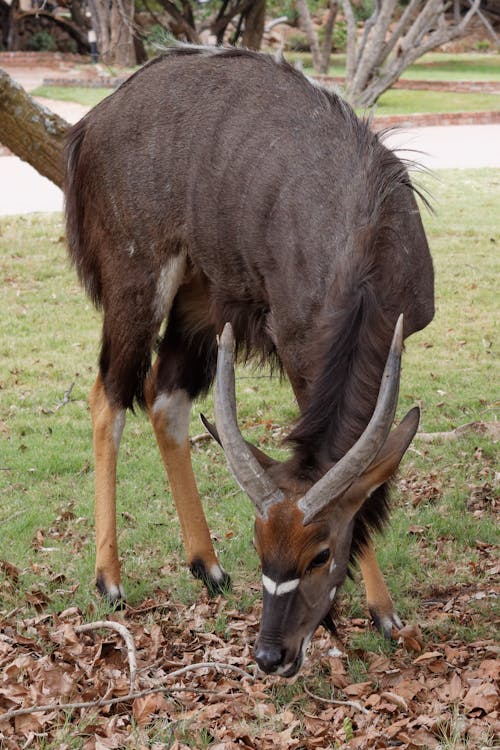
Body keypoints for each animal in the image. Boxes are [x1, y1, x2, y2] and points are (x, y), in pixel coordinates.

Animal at [65, 47, 434, 680]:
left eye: (320, 555)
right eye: (262, 548)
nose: (269, 654)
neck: (368, 241)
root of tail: (90, 125)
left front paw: (384, 614)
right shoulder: (299, 345)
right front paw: (383, 612)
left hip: (199, 298)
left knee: (164, 398)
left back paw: (207, 566)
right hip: (139, 281)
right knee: (108, 394)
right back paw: (109, 579)